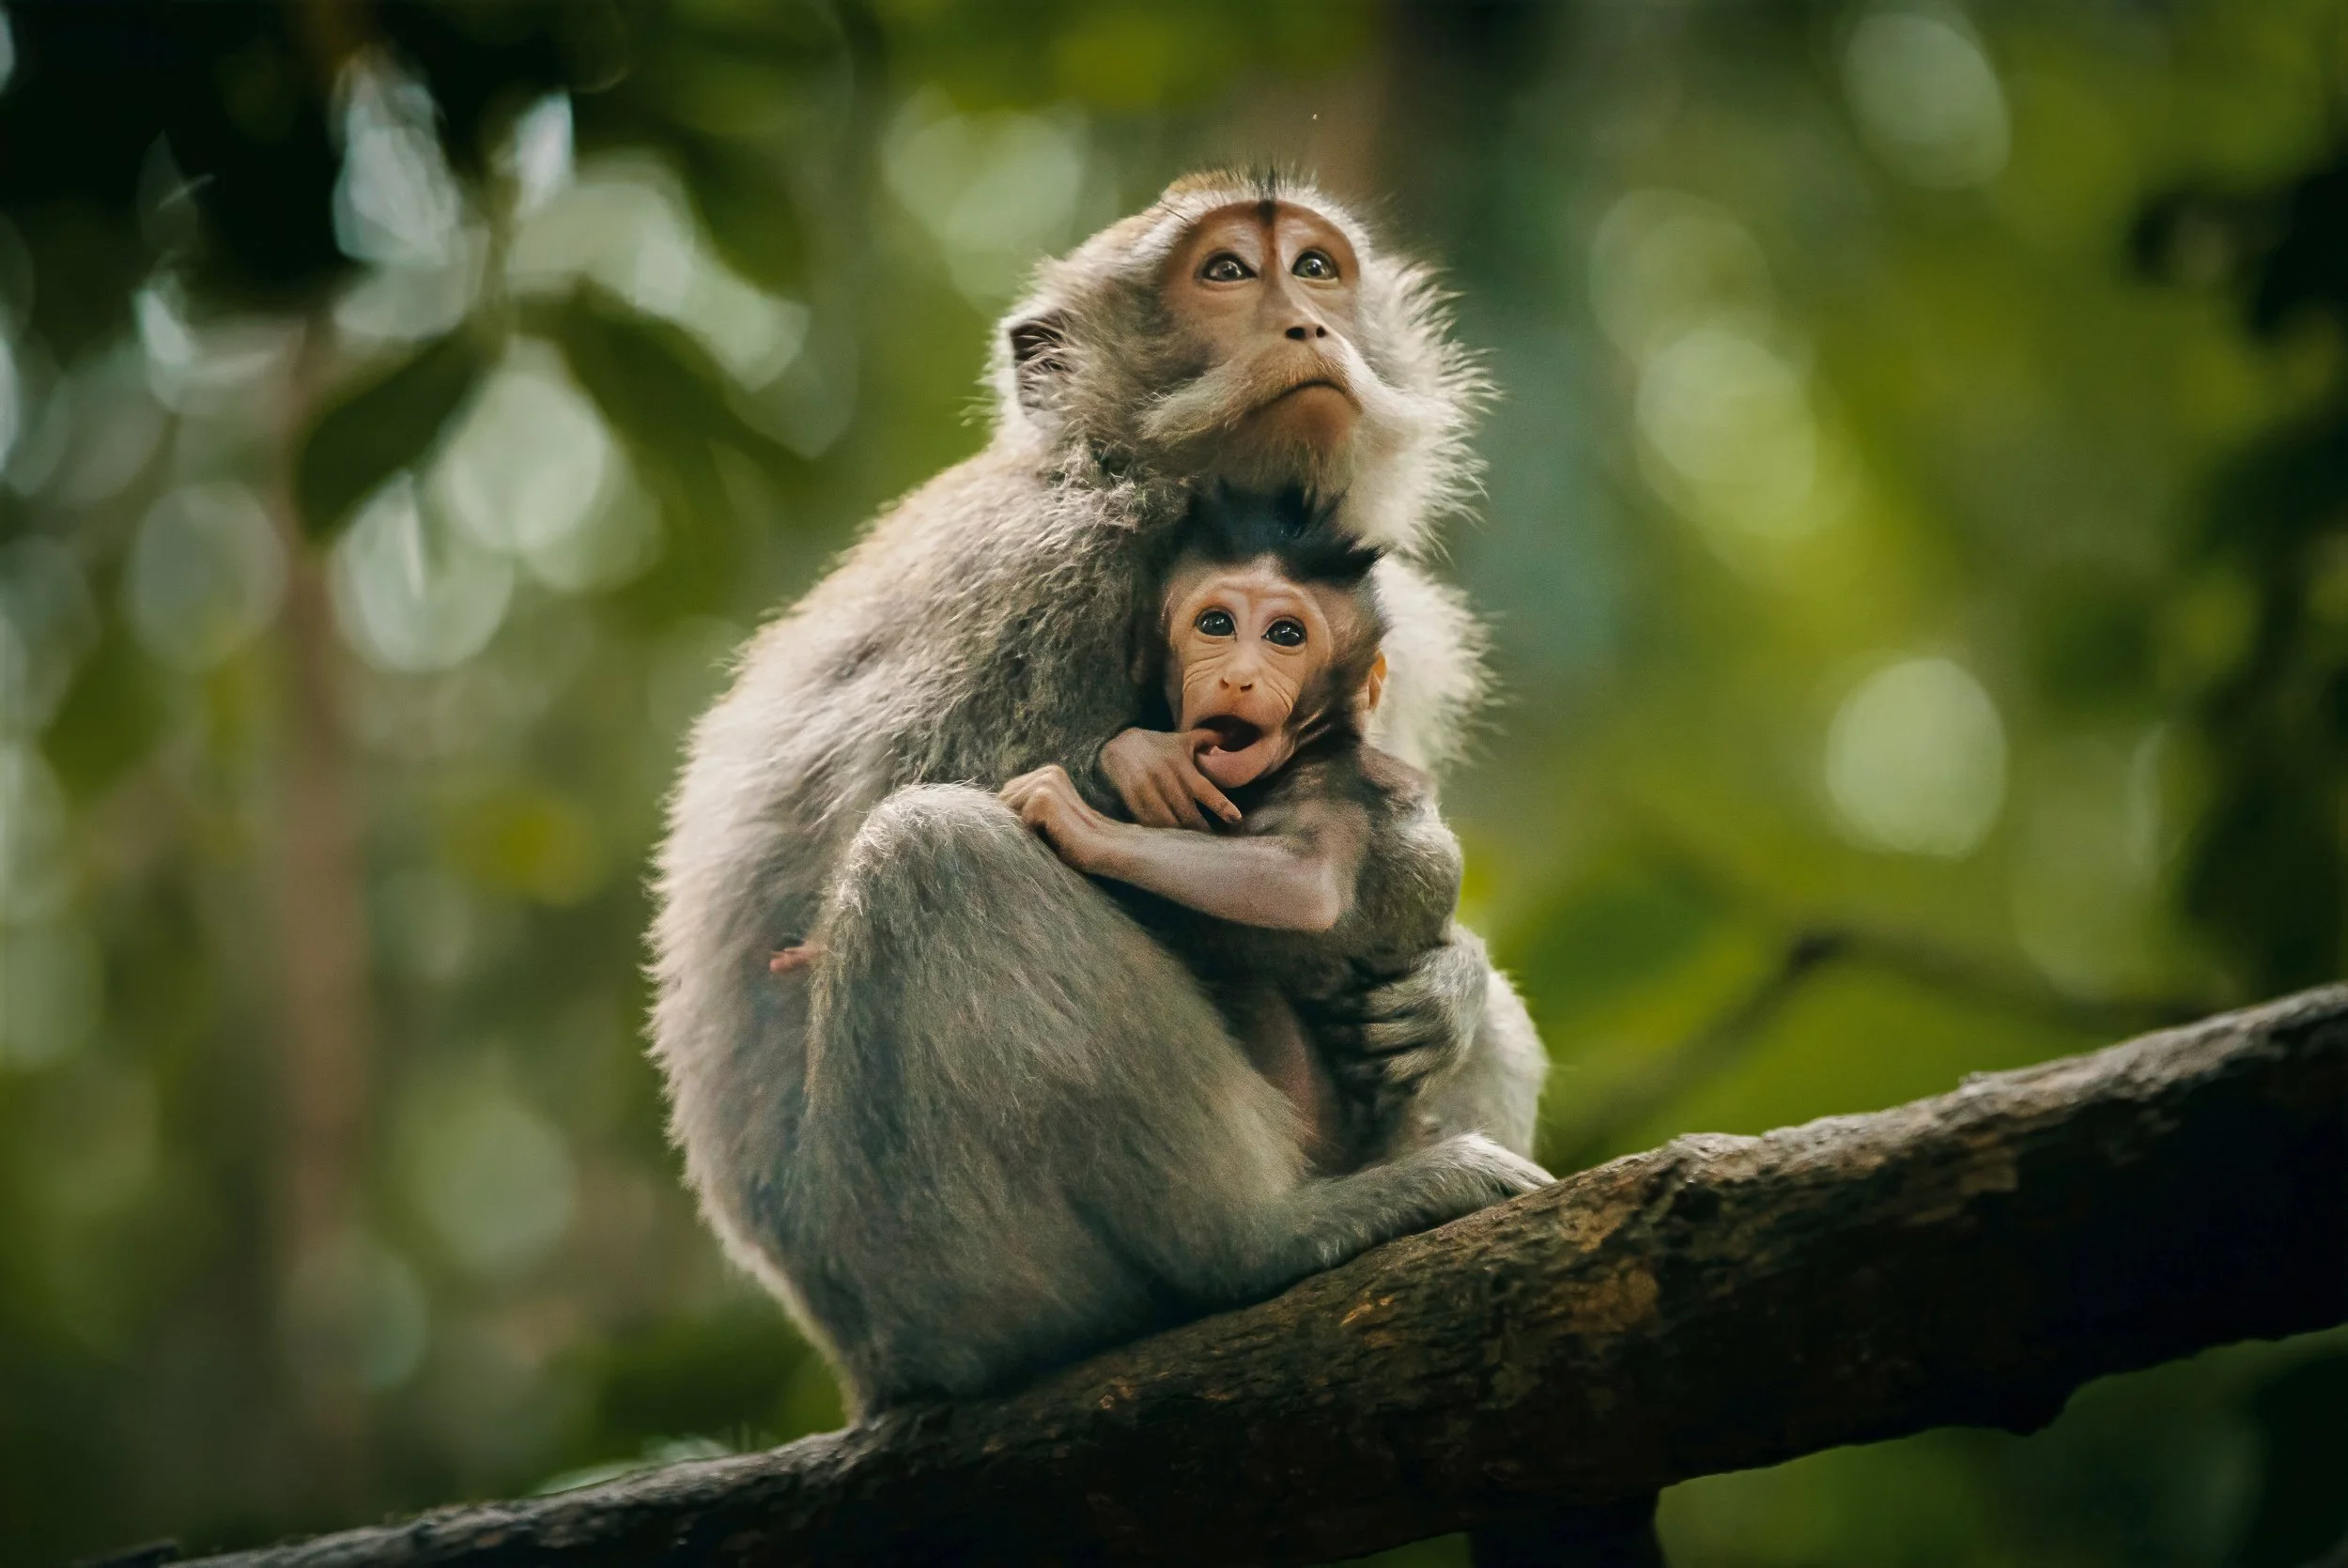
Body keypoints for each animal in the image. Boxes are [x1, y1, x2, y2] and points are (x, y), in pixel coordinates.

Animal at [999, 485, 1469, 1175]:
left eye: (1285, 635)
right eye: (1217, 625)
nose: (1238, 677)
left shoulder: (1332, 782)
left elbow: (1306, 884)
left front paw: (1075, 816)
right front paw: (1140, 758)